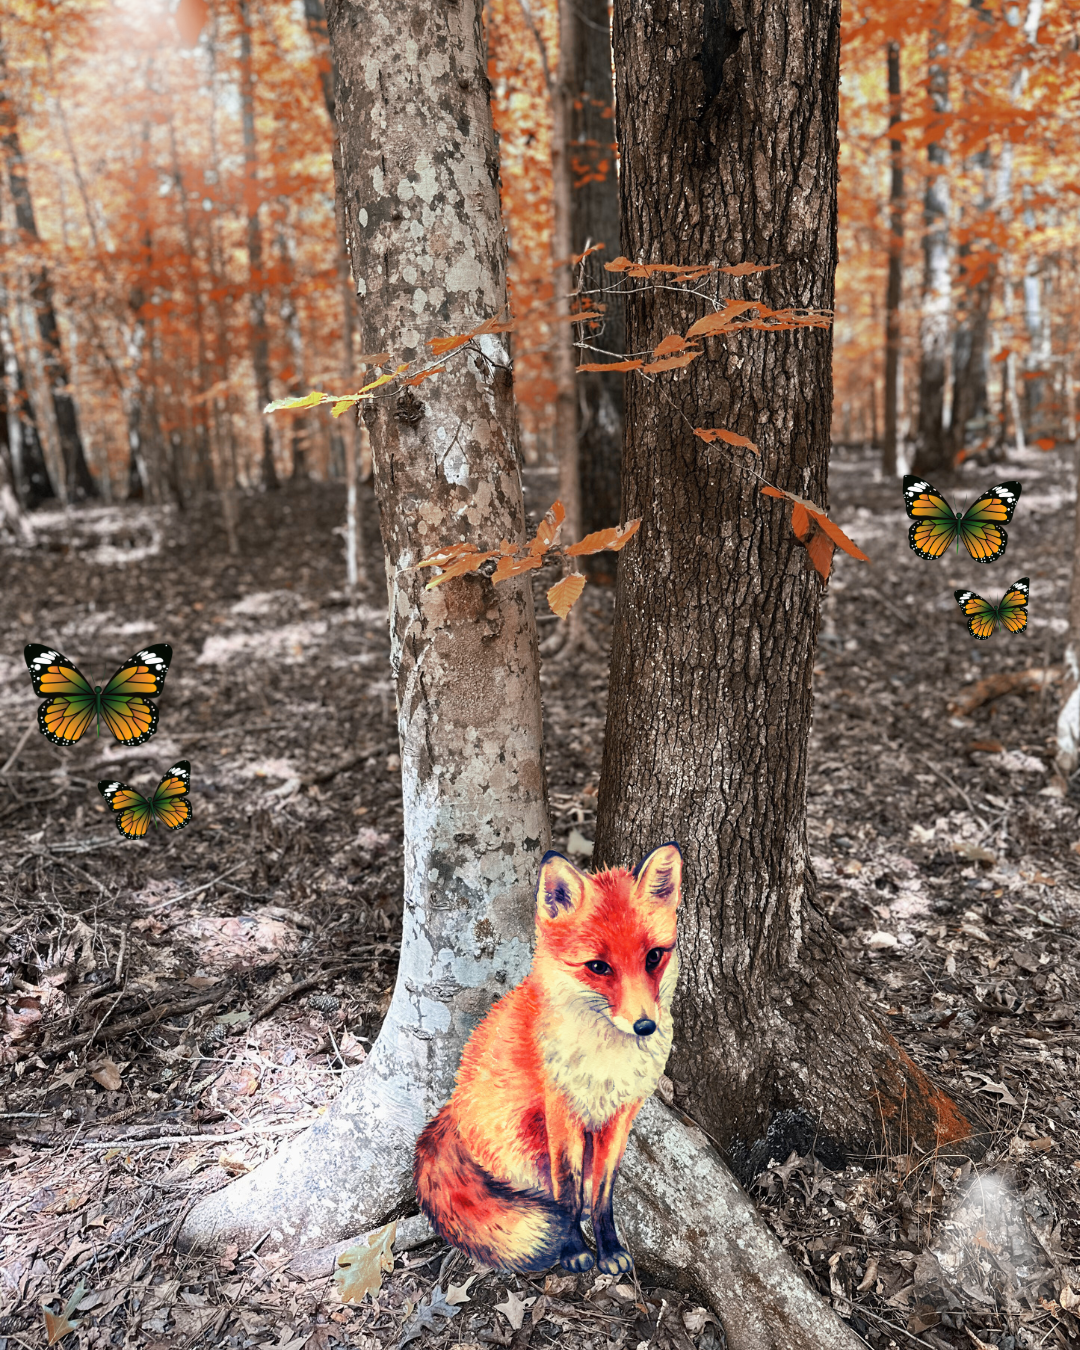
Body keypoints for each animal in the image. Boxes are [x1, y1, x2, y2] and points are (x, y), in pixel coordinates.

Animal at [414, 842, 681, 1275]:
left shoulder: (622, 1115)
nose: (645, 1026)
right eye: (598, 967)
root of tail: (451, 1108)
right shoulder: (560, 1110)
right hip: (522, 1133)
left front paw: (609, 1248)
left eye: (654, 957)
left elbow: (603, 1191)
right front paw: (572, 1250)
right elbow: (565, 1190)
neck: (606, 1066)